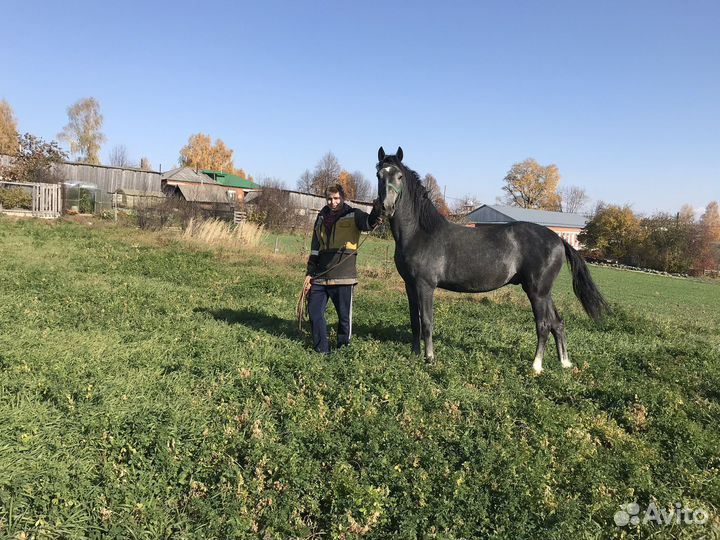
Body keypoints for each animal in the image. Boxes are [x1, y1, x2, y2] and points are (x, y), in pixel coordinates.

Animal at [376, 146, 608, 373]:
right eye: (379, 174)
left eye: (399, 176)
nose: (386, 207)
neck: (420, 233)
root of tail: (559, 240)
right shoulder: (410, 285)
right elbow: (414, 322)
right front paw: (415, 356)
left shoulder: (425, 286)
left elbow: (426, 322)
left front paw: (430, 359)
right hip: (544, 292)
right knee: (557, 323)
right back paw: (564, 363)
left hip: (537, 293)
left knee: (543, 325)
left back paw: (536, 366)